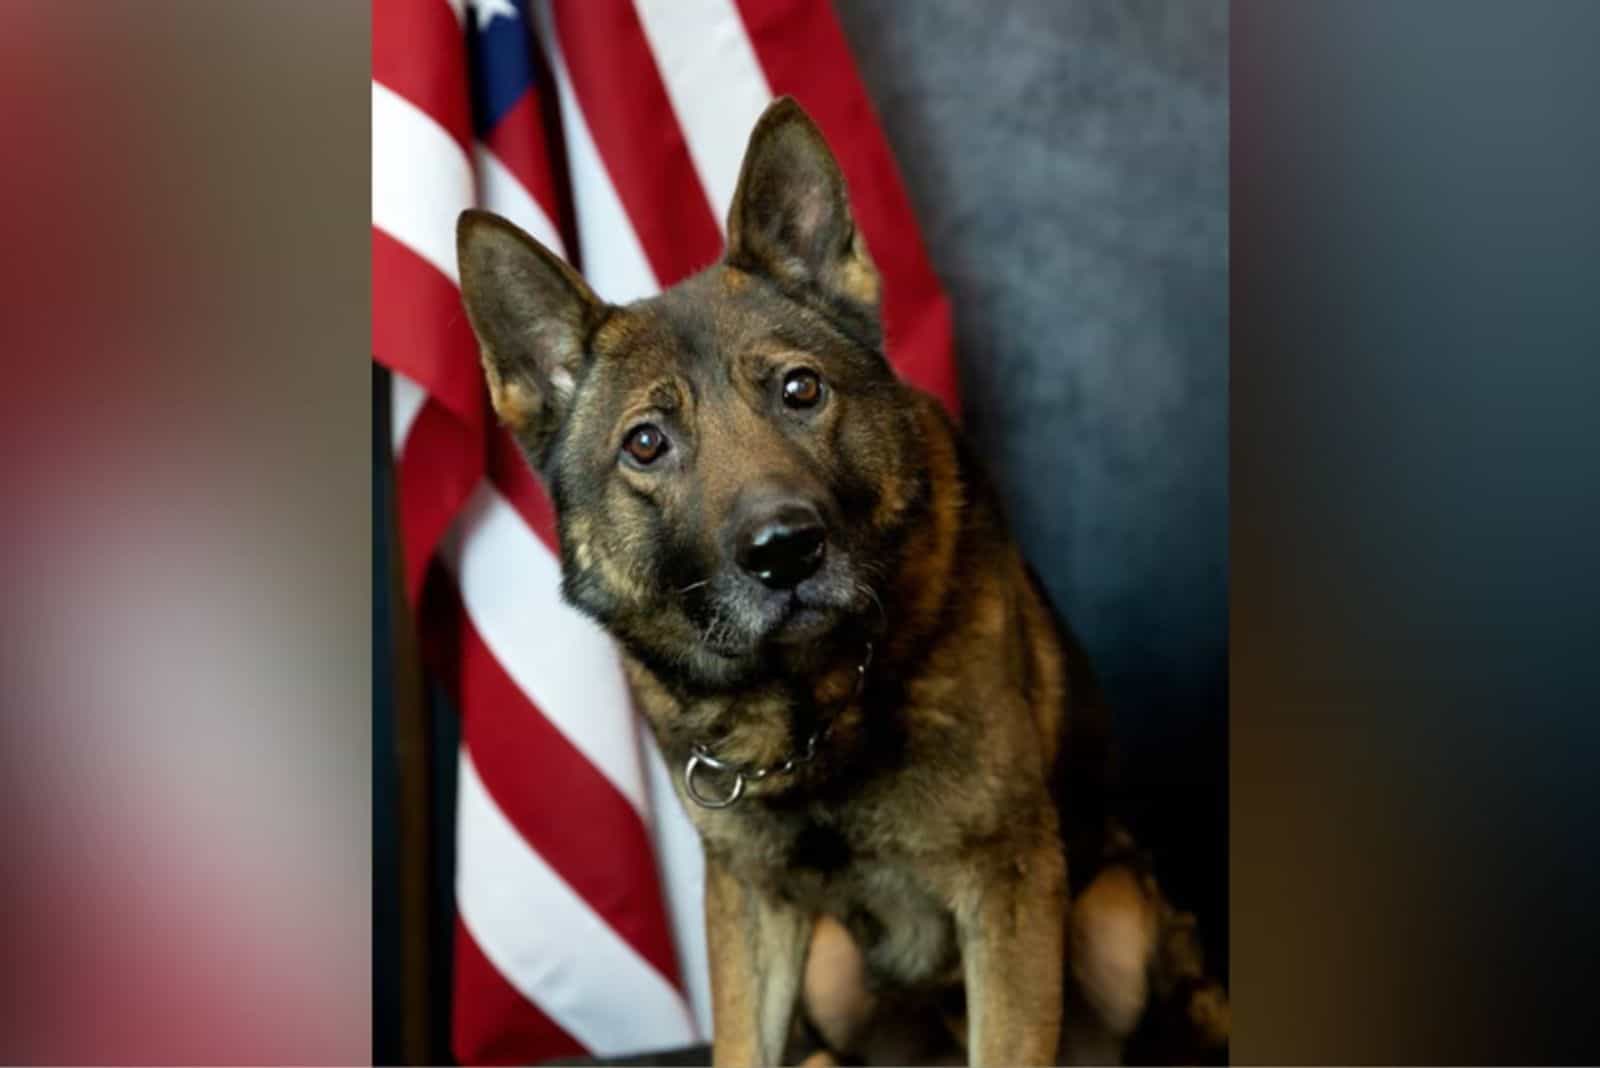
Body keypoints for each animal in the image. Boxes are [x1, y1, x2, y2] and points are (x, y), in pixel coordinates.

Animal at [457, 97, 1228, 1061]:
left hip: (1115, 919)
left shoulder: (1009, 887)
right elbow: (740, 1044)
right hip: (829, 966)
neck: (809, 711)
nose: (785, 550)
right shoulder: (746, 903)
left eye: (800, 390)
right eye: (645, 443)